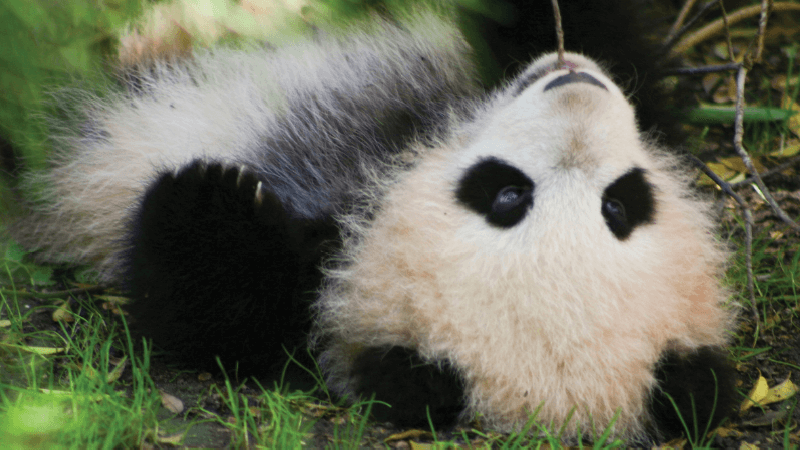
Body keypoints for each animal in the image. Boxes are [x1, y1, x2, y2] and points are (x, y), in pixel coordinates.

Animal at [10, 0, 738, 443]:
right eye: (625, 205)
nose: (576, 89)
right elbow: (608, 44)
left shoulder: (312, 315)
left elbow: (203, 321)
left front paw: (213, 199)